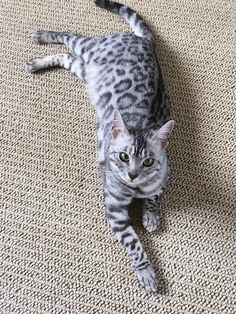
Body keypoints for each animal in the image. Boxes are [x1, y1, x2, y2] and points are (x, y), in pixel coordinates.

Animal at [26, 0, 175, 294]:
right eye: (123, 157)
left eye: (148, 161)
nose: (132, 175)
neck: (135, 190)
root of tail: (144, 41)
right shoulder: (115, 211)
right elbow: (135, 244)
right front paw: (147, 273)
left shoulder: (164, 174)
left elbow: (156, 194)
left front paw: (151, 215)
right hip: (90, 49)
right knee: (69, 37)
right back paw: (42, 38)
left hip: (86, 70)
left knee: (66, 57)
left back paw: (39, 61)